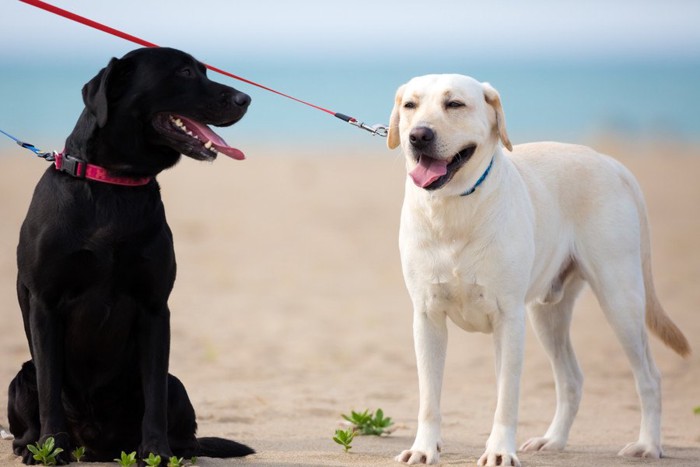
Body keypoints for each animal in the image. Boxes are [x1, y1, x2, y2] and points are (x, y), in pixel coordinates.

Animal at [7, 47, 254, 464]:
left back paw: (174, 449)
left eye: (203, 70)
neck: (115, 183)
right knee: (27, 413)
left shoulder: (154, 307)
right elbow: (49, 389)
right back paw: (36, 446)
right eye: (185, 72)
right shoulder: (45, 303)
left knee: (180, 421)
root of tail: (96, 445)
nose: (245, 98)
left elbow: (153, 395)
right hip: (18, 379)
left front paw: (155, 451)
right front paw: (53, 447)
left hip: (177, 386)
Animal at [388, 75, 688, 466]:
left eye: (454, 104)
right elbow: (429, 398)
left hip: (620, 298)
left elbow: (507, 397)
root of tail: (610, 162)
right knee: (571, 379)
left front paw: (500, 450)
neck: (453, 208)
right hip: (548, 314)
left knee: (649, 376)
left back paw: (648, 445)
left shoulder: (509, 319)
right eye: (410, 105)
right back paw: (553, 440)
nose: (418, 135)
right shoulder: (427, 318)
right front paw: (424, 448)